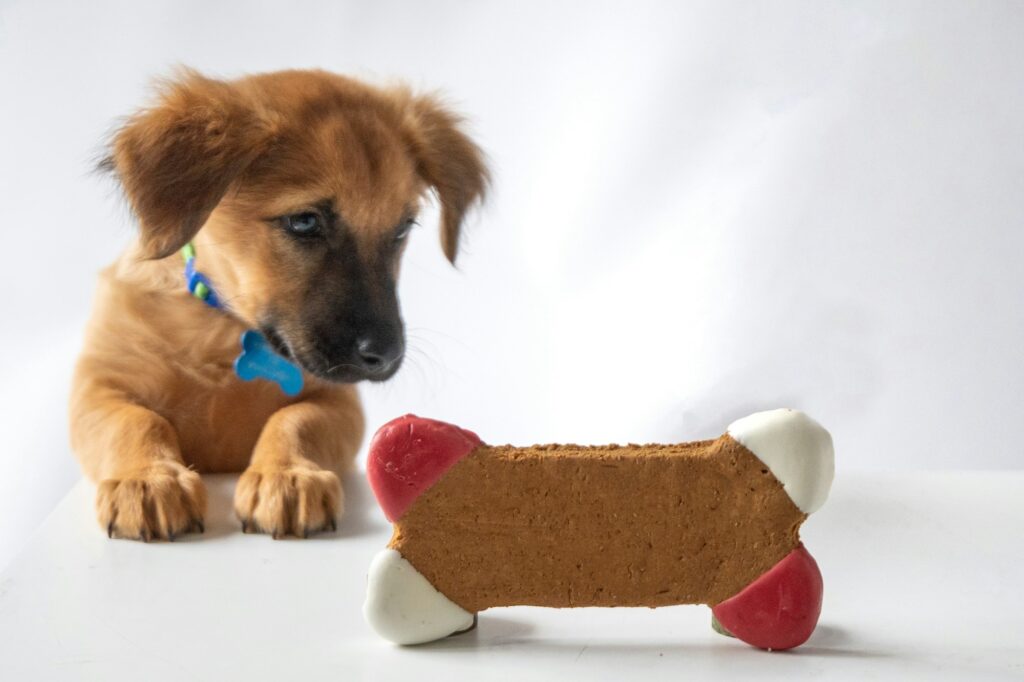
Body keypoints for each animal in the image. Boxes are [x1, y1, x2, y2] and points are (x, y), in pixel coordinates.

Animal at [68, 67, 487, 536]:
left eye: (402, 229)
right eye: (304, 221)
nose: (386, 357)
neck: (226, 333)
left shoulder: (337, 400)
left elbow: (295, 420)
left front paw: (286, 475)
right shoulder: (99, 385)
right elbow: (135, 420)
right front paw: (150, 479)